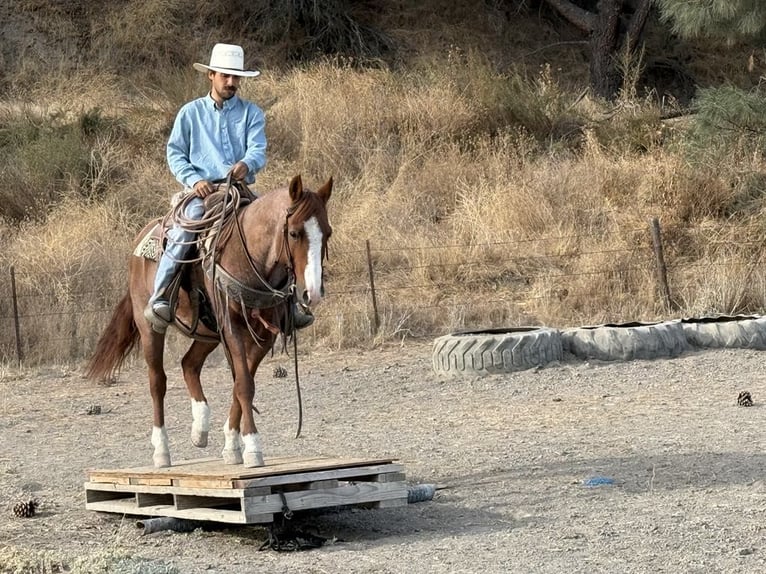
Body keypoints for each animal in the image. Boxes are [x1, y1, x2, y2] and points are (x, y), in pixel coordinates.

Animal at [88, 178, 332, 470]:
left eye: (327, 233)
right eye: (294, 233)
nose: (312, 293)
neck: (248, 254)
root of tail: (141, 240)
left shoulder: (264, 334)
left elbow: (242, 383)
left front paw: (232, 444)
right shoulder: (232, 326)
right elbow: (244, 385)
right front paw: (253, 447)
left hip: (208, 333)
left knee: (189, 364)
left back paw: (200, 428)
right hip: (149, 327)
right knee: (157, 381)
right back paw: (161, 451)